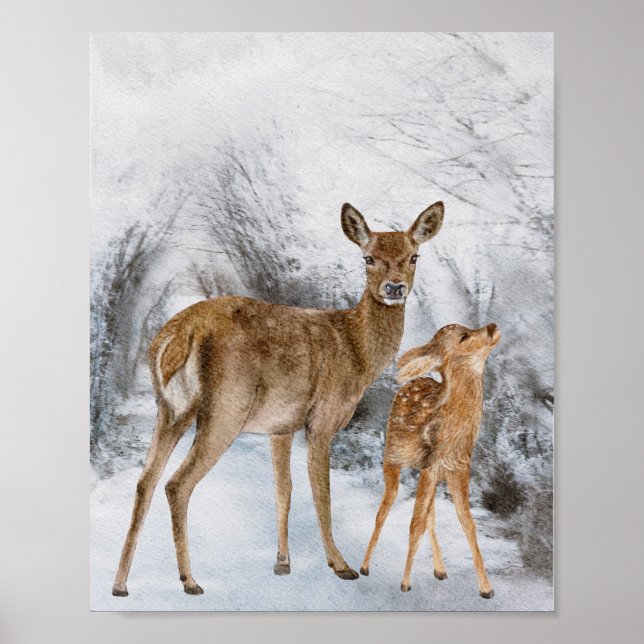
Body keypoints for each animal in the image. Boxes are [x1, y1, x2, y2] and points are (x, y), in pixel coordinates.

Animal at [112, 201, 445, 596]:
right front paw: (341, 565)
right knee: (177, 484)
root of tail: (178, 335)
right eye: (368, 258)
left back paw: (120, 584)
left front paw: (282, 562)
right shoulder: (322, 420)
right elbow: (321, 494)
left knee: (145, 480)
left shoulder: (281, 427)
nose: (394, 287)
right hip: (225, 408)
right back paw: (189, 581)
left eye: (413, 256)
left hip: (170, 409)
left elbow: (283, 489)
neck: (357, 351)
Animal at [360, 322, 500, 599]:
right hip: (392, 456)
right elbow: (415, 524)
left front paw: (487, 588)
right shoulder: (431, 466)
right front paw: (405, 583)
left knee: (430, 516)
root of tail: (412, 381)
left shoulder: (458, 469)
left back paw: (440, 570)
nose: (492, 327)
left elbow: (467, 523)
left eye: (469, 329)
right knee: (385, 508)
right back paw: (364, 566)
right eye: (464, 336)